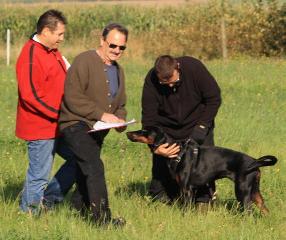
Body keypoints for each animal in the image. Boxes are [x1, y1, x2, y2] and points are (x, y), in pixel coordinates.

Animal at [126, 127, 278, 214]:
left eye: (143, 131)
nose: (127, 132)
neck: (178, 152)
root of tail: (254, 161)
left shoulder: (187, 189)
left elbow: (186, 210)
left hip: (242, 190)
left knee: (249, 211)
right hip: (254, 191)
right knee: (265, 209)